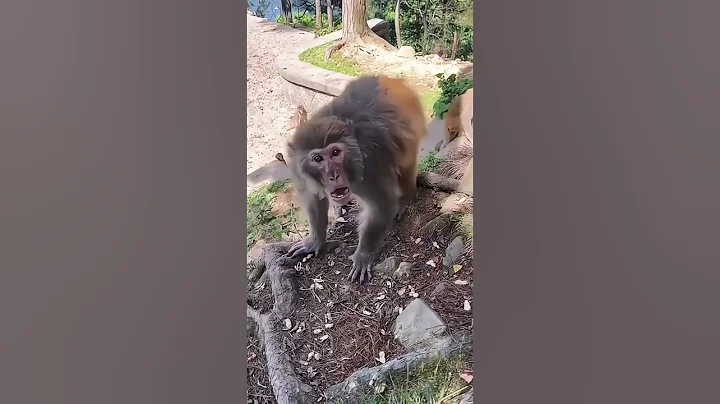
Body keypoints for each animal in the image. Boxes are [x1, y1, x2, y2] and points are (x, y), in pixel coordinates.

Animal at [285, 75, 428, 283]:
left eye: (335, 153)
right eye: (318, 159)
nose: (333, 175)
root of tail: (393, 80)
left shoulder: (370, 166)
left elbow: (381, 207)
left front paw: (363, 256)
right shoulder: (297, 166)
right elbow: (313, 199)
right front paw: (315, 241)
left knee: (404, 164)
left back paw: (406, 197)